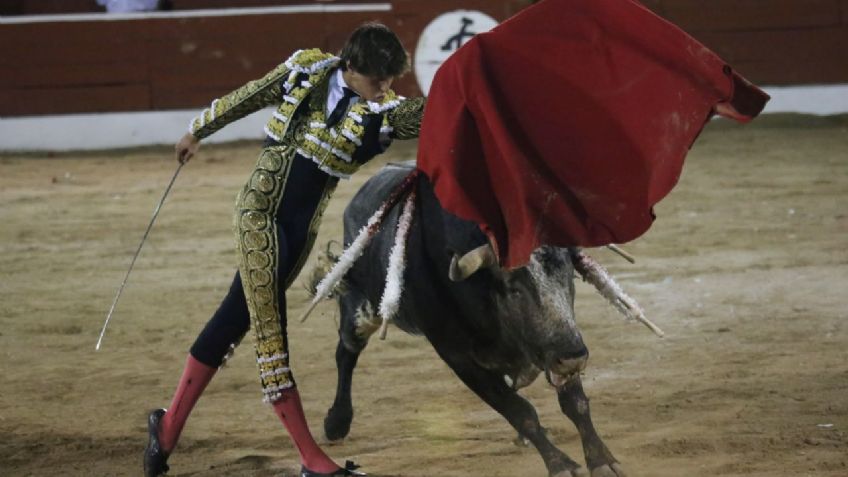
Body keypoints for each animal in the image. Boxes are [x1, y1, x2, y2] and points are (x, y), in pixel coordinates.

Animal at [314, 162, 628, 474]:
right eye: (514, 288)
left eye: (569, 276)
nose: (574, 357)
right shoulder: (459, 358)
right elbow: (519, 411)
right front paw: (561, 464)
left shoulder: (559, 346)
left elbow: (575, 403)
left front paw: (603, 460)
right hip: (359, 308)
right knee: (346, 353)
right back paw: (336, 422)